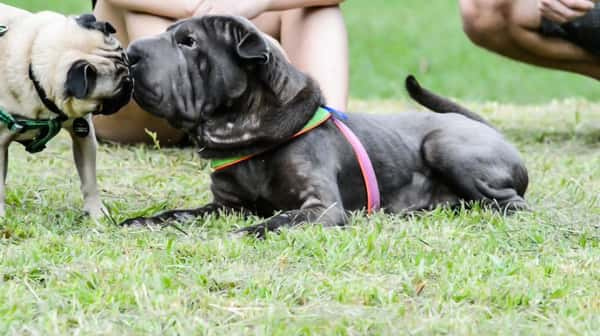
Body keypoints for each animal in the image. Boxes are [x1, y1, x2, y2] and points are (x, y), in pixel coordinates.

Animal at [0, 3, 132, 219]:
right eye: (120, 89)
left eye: (128, 63)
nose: (131, 86)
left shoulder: (83, 134)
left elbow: (89, 179)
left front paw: (96, 212)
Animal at [124, 16, 528, 236]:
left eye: (189, 42)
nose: (130, 52)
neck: (248, 138)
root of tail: (488, 129)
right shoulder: (226, 205)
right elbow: (178, 213)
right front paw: (145, 220)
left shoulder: (322, 207)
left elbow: (281, 219)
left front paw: (252, 231)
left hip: (443, 145)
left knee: (512, 203)